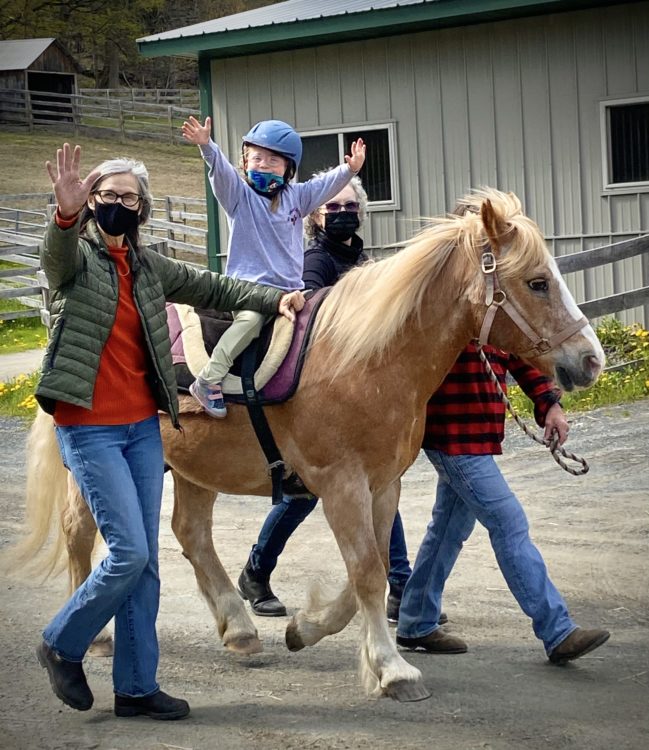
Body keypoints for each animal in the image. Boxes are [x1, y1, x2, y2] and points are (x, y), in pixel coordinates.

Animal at [16, 189, 604, 704]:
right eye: (537, 282)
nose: (590, 360)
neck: (364, 357)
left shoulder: (380, 485)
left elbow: (368, 569)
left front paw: (308, 628)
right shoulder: (340, 483)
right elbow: (366, 571)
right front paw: (392, 670)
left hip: (194, 467)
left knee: (191, 534)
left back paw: (238, 628)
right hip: (98, 469)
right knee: (81, 533)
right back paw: (96, 637)